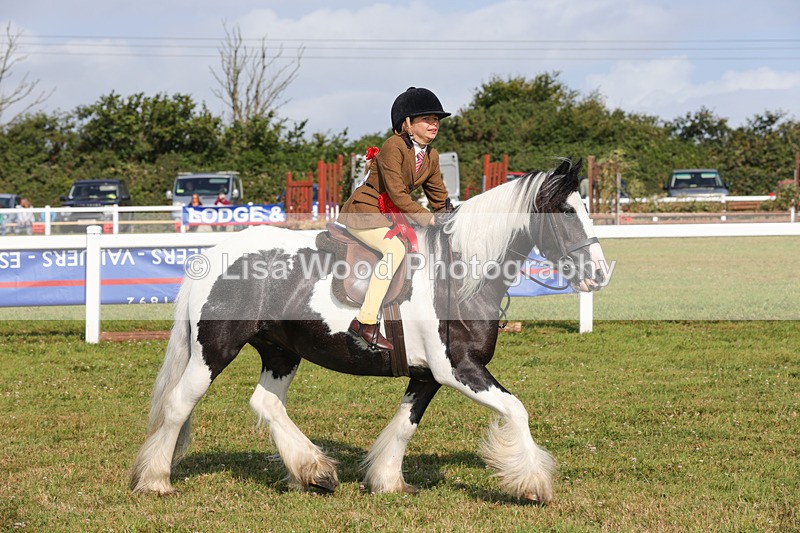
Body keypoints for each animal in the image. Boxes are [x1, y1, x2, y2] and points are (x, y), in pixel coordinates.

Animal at [129, 157, 608, 503]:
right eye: (567, 211)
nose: (600, 274)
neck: (459, 272)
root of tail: (214, 254)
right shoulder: (459, 370)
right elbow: (516, 410)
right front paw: (533, 483)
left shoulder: (427, 376)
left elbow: (405, 424)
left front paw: (387, 480)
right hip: (214, 351)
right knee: (179, 404)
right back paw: (155, 480)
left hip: (281, 351)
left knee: (266, 403)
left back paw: (314, 471)